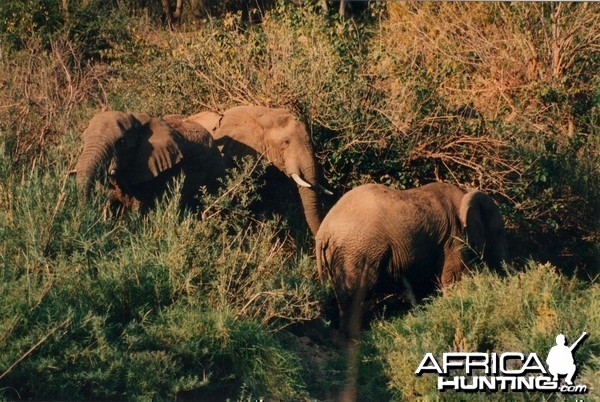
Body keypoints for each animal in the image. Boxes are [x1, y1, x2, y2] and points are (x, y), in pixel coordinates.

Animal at [314, 183, 506, 340]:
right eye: (499, 232)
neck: (466, 193)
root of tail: (323, 232)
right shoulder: (454, 237)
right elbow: (455, 278)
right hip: (357, 250)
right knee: (356, 292)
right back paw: (352, 340)